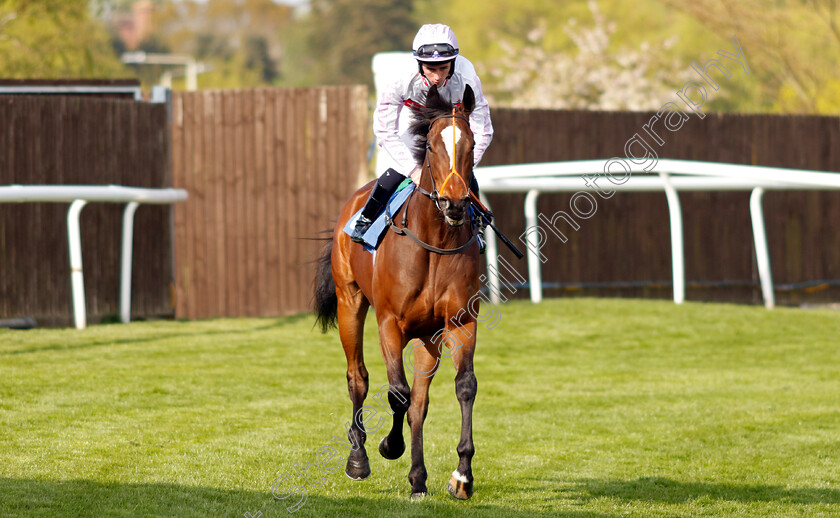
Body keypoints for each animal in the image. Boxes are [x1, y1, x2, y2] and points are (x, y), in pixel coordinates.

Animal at [314, 84, 486, 500]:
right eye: (434, 146)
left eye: (471, 143)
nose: (454, 202)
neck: (435, 242)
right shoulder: (389, 324)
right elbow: (397, 393)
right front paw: (389, 446)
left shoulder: (460, 323)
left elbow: (463, 387)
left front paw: (461, 475)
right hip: (349, 302)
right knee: (358, 376)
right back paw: (358, 458)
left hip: (429, 337)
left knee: (420, 403)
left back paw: (418, 478)